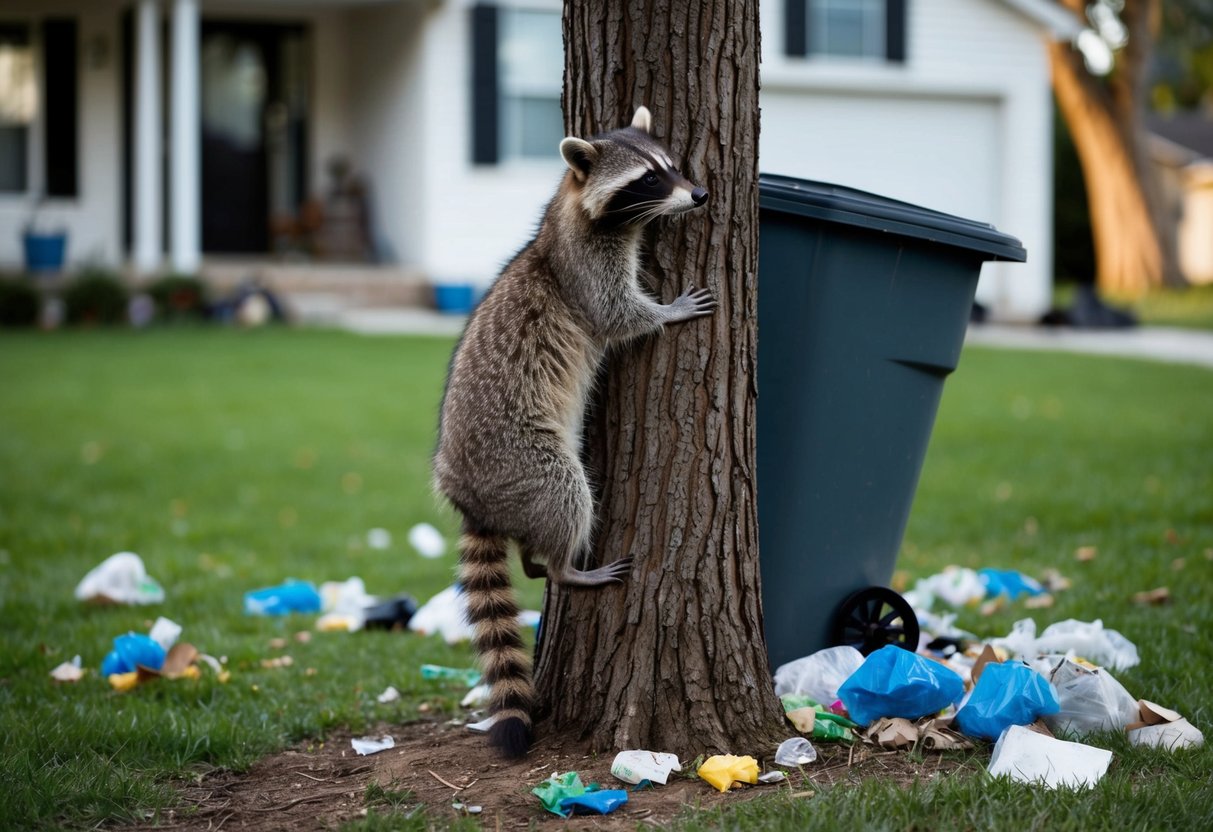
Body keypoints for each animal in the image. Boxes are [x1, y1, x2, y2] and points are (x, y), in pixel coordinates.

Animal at [432, 106, 713, 759]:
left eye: (673, 166)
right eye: (647, 179)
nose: (700, 194)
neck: (570, 206)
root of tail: (468, 494)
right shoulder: (584, 267)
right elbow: (615, 313)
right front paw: (666, 312)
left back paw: (537, 561)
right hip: (522, 461)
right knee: (567, 492)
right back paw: (563, 567)